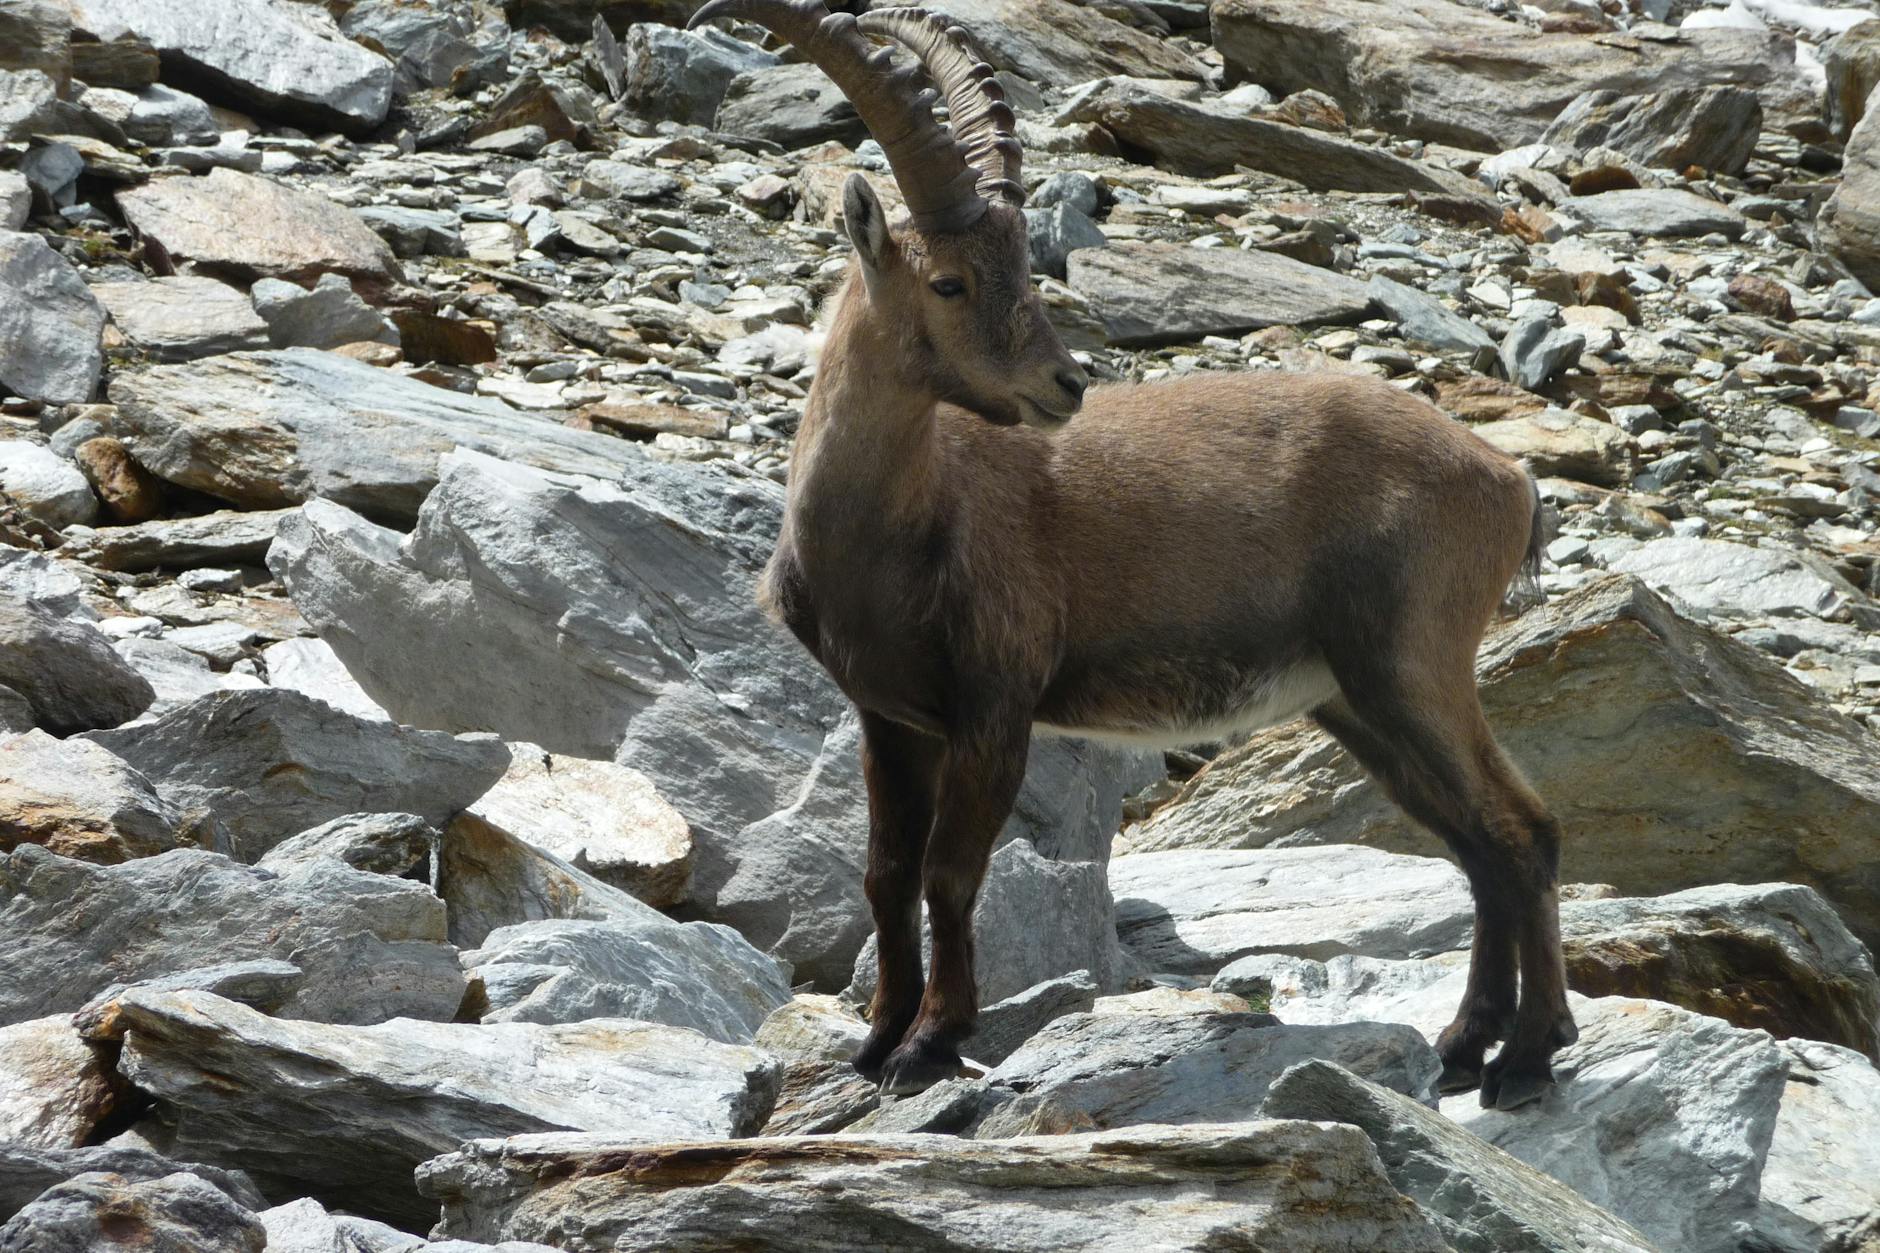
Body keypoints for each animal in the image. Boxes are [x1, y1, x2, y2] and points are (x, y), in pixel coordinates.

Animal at [692, 0, 1577, 1111]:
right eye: (948, 279)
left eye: (1028, 268)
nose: (1065, 384)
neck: (895, 525)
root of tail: (1505, 477)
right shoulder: (888, 716)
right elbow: (885, 872)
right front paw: (878, 1034)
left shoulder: (997, 702)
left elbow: (950, 871)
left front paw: (932, 1041)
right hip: (1356, 701)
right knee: (1475, 844)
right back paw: (1466, 1042)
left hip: (1412, 664)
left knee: (1520, 829)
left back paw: (1529, 1054)